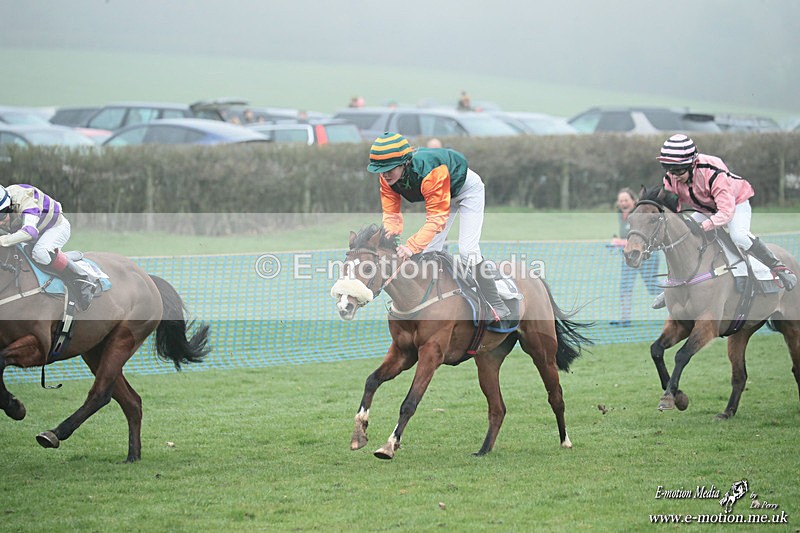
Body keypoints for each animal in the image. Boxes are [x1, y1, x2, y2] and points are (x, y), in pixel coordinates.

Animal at [0, 245, 209, 462]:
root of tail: (147, 278)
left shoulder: (41, 345)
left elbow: (1, 359)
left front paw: (15, 407)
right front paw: (13, 404)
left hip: (122, 340)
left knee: (101, 394)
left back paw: (54, 434)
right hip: (95, 350)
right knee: (132, 401)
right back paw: (133, 455)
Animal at [331, 224, 592, 459]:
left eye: (367, 267)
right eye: (344, 267)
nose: (344, 306)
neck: (417, 295)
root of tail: (535, 277)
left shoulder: (431, 353)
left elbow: (410, 402)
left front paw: (389, 445)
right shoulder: (403, 353)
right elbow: (371, 381)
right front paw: (359, 434)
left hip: (541, 351)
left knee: (555, 395)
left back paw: (565, 441)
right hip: (488, 360)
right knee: (498, 408)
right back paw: (484, 450)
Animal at [623, 186, 800, 418]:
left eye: (653, 219)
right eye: (631, 219)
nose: (631, 255)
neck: (690, 268)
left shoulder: (707, 324)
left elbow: (681, 355)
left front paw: (670, 397)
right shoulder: (679, 323)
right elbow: (656, 350)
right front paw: (679, 396)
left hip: (792, 326)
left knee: (797, 367)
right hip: (741, 331)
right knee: (740, 375)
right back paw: (727, 412)